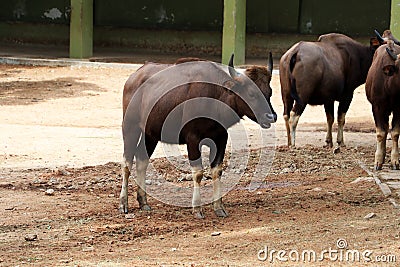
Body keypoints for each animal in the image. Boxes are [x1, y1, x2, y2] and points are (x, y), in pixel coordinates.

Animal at [119, 55, 276, 220]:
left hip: (150, 134)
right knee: (126, 163)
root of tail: (133, 78)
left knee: (141, 161)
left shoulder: (221, 138)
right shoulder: (193, 139)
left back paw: (143, 202)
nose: (271, 116)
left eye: (269, 92)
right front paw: (197, 208)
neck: (215, 98)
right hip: (130, 127)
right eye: (251, 93)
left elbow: (217, 171)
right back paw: (123, 204)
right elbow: (198, 173)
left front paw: (219, 207)